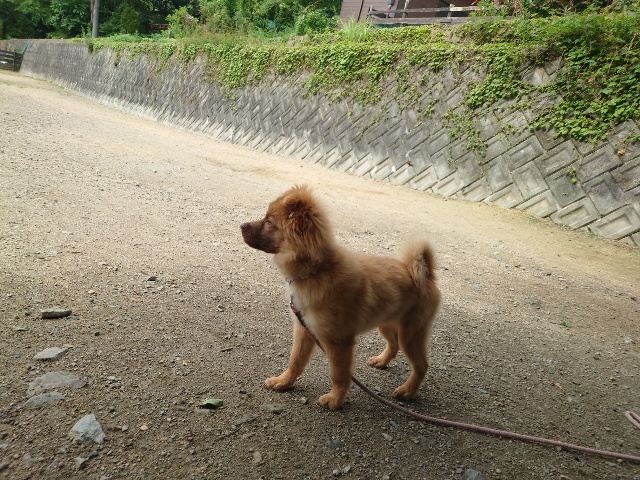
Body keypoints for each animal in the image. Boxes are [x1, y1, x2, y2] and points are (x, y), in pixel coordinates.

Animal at [240, 185, 440, 410]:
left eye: (269, 222)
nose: (241, 225)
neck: (317, 270)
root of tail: (425, 275)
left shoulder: (338, 341)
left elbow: (339, 374)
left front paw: (335, 400)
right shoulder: (304, 329)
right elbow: (295, 361)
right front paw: (283, 382)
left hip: (411, 334)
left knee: (421, 365)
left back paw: (407, 391)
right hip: (387, 323)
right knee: (394, 344)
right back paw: (382, 361)